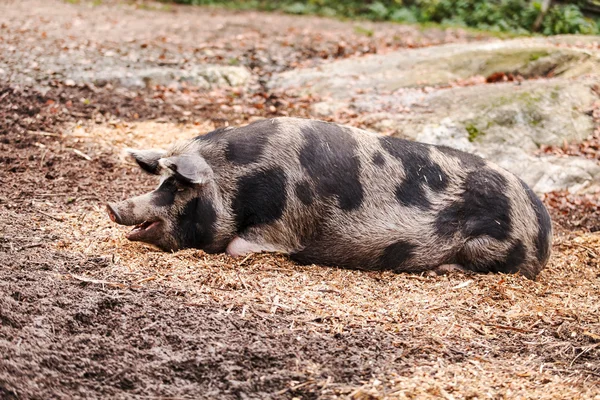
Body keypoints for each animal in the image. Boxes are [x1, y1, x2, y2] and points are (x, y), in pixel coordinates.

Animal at [105, 117, 552, 280]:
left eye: (178, 187)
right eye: (162, 181)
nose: (112, 206)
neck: (242, 180)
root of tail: (544, 226)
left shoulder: (285, 224)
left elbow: (236, 246)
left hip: (489, 246)